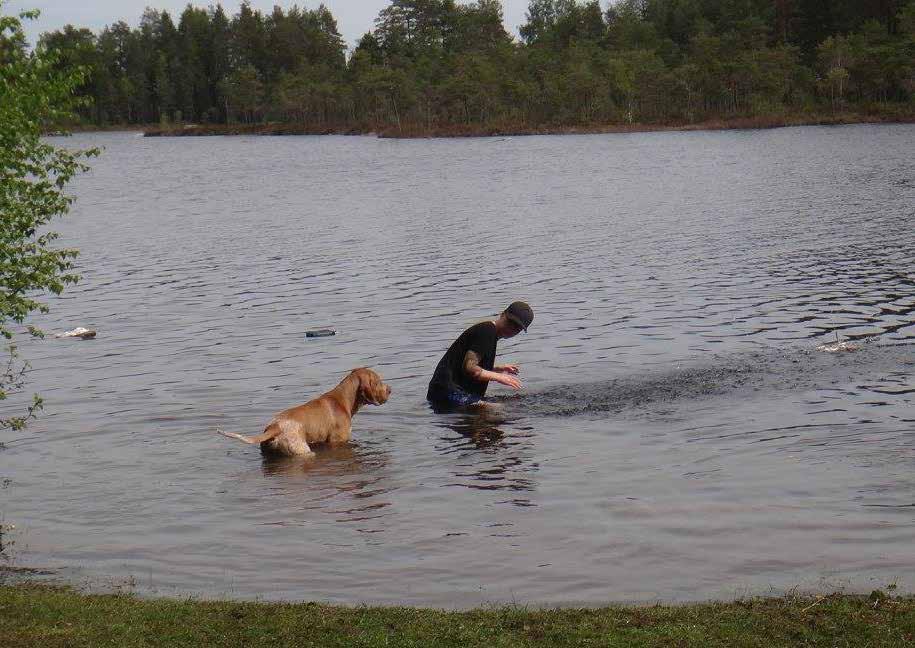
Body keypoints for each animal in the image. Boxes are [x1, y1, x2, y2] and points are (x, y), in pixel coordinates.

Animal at [224, 368, 396, 458]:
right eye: (378, 381)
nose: (390, 390)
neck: (342, 400)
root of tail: (274, 427)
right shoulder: (338, 441)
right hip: (304, 451)